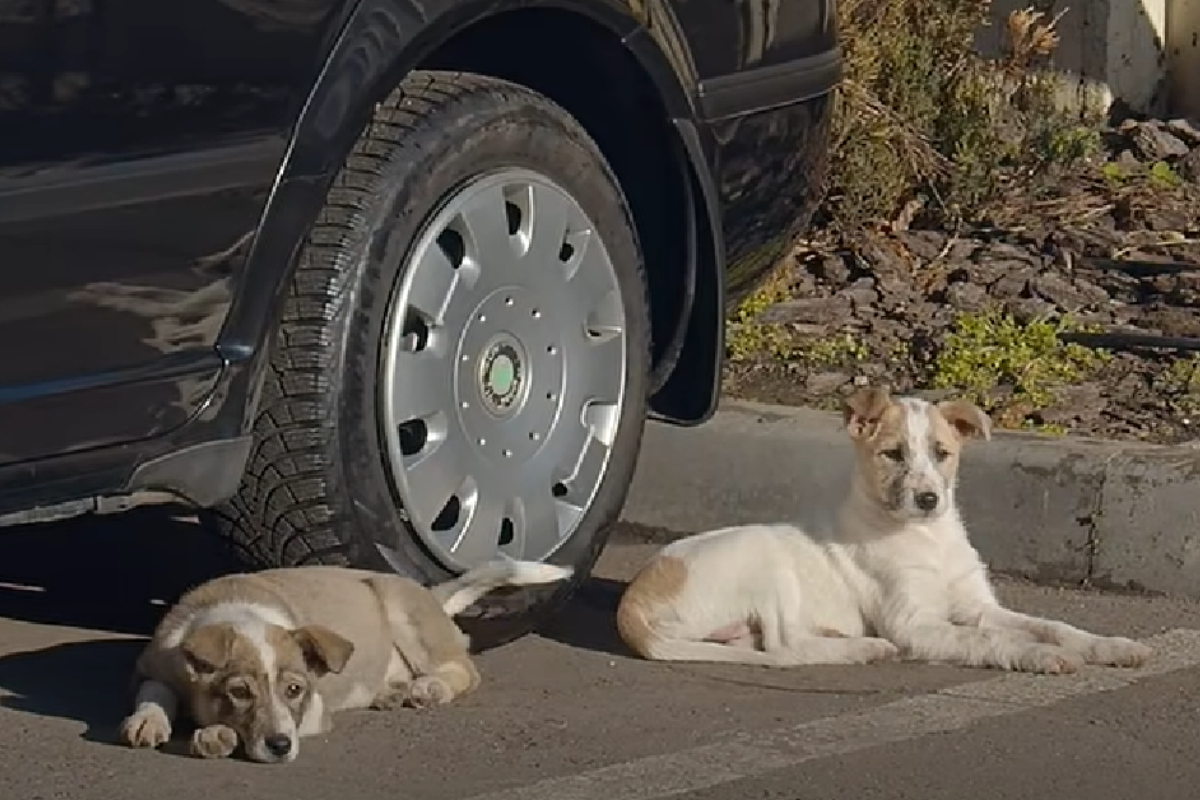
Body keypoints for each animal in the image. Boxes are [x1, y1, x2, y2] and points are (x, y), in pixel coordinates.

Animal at [121, 556, 571, 762]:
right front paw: (148, 722)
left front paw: (213, 734)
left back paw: (429, 687)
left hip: (402, 611)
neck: (235, 609)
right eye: (240, 692)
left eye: (295, 690)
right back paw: (390, 693)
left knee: (464, 669)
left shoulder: (315, 709)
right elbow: (155, 693)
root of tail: (433, 596)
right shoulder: (155, 664)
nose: (281, 747)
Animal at [619, 388, 1152, 676]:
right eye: (893, 454)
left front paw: (1110, 646)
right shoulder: (914, 623)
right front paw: (1038, 656)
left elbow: (1053, 626)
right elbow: (987, 641)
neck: (926, 537)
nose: (929, 499)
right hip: (761, 558)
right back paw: (865, 648)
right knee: (785, 646)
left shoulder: (978, 606)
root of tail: (632, 604)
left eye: (942, 453)